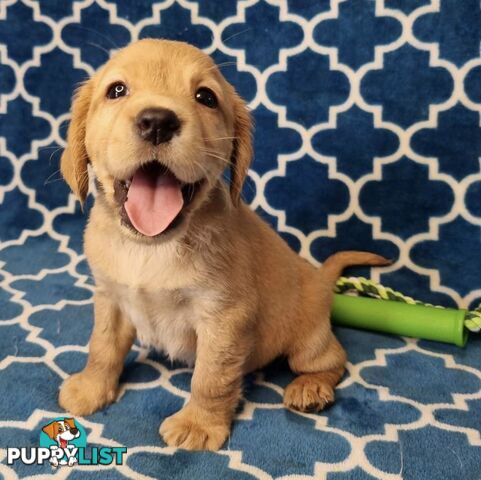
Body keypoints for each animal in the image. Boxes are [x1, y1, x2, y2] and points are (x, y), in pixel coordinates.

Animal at [58, 39, 388, 452]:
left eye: (205, 97)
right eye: (116, 90)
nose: (157, 121)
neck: (150, 248)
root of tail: (319, 279)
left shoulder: (225, 317)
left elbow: (211, 377)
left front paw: (198, 424)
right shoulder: (110, 298)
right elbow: (102, 347)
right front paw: (91, 388)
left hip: (308, 339)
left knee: (332, 360)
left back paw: (311, 388)